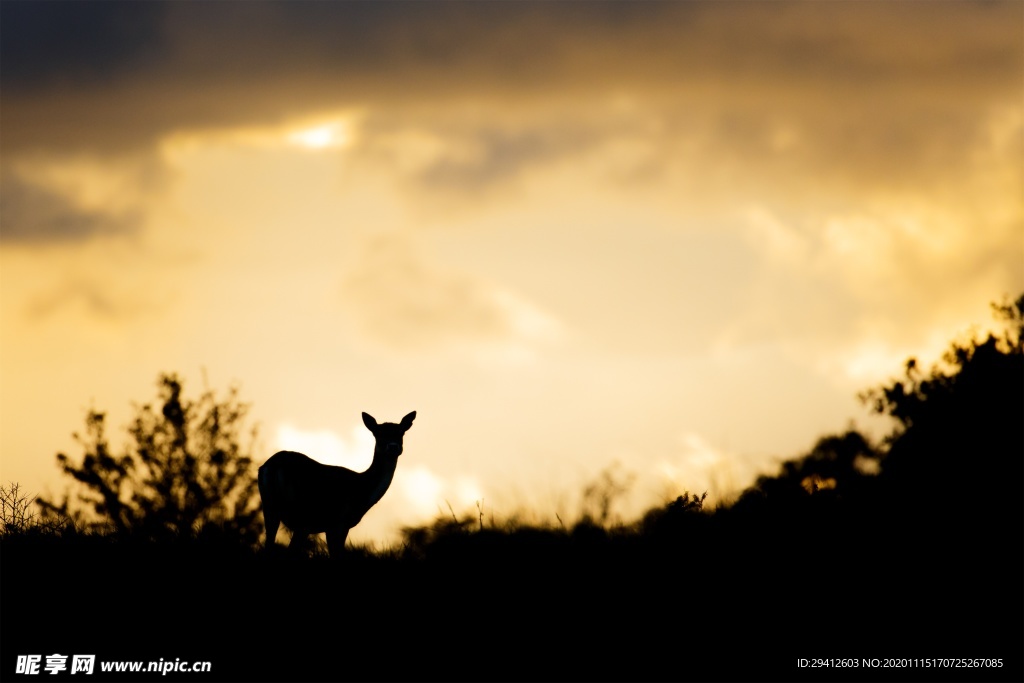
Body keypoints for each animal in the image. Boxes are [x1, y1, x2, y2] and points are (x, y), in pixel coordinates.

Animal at [256, 411, 415, 557]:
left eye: (402, 432)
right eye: (378, 433)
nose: (393, 447)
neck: (363, 490)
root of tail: (272, 465)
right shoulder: (339, 523)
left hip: (270, 507)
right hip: (303, 514)